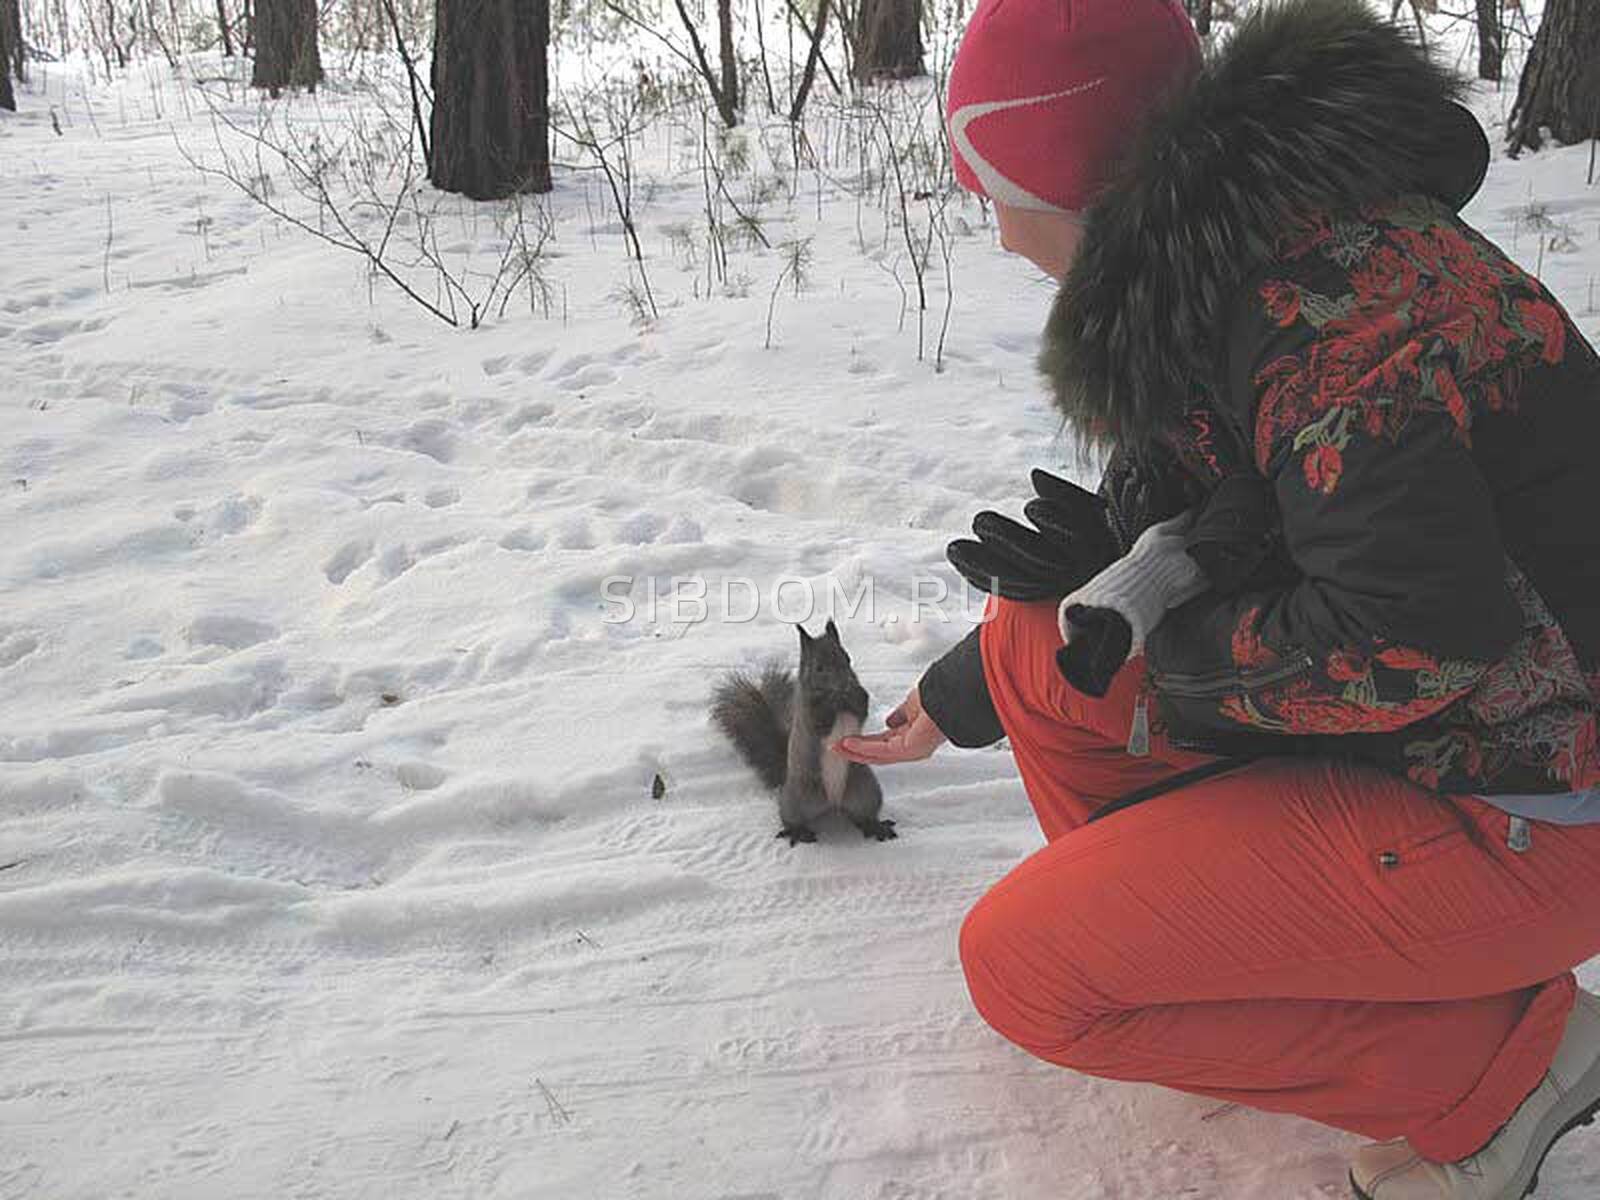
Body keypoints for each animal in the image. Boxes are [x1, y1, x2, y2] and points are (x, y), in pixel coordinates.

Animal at [713, 620, 902, 844]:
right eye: (819, 668)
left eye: (847, 658)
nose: (845, 682)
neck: (840, 701)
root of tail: (833, 803)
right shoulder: (807, 714)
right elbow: (820, 720)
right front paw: (831, 703)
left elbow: (860, 709)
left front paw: (854, 693)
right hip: (797, 799)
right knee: (792, 818)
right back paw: (798, 831)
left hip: (866, 791)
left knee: (862, 816)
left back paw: (875, 826)